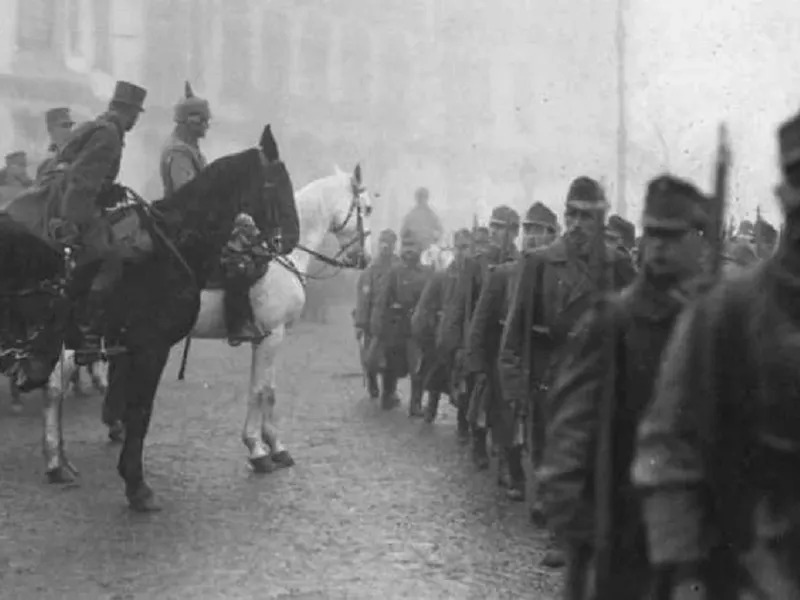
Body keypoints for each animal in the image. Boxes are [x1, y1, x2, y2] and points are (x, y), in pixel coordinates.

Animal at [4, 125, 298, 510]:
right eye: (276, 183)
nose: (290, 238)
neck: (174, 246)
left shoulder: (131, 349)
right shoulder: (154, 348)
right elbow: (142, 412)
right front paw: (138, 486)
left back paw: (59, 460)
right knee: (55, 390)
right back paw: (56, 460)